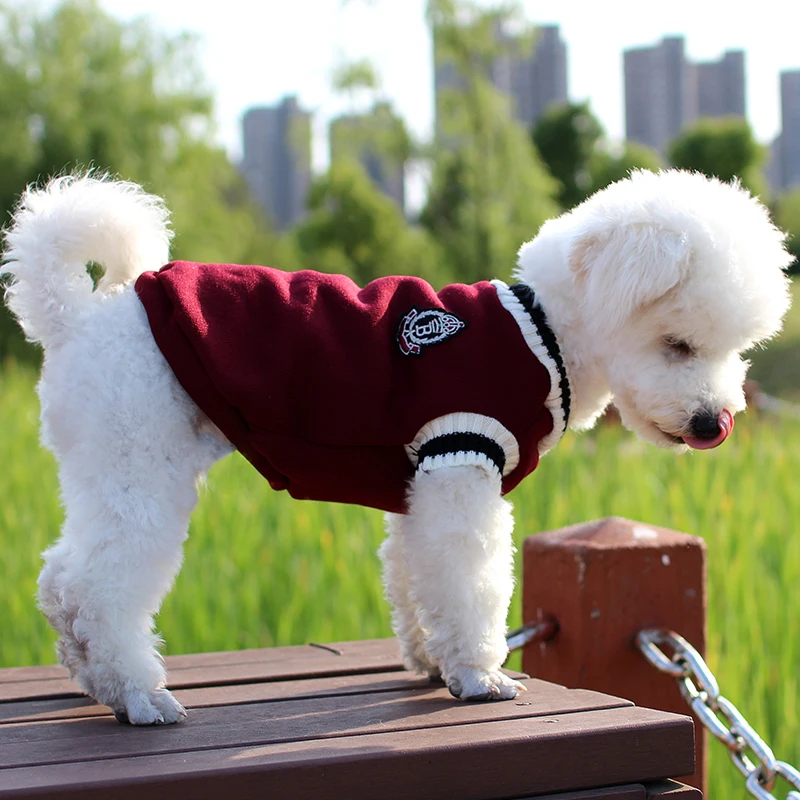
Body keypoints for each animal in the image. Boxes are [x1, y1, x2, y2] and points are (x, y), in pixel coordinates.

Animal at [1, 170, 792, 724]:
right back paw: (138, 694)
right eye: (677, 344)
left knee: (62, 580)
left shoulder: (426, 481)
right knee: (99, 587)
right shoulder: (463, 460)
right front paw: (479, 676)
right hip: (141, 466)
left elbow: (416, 581)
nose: (714, 424)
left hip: (107, 471)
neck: (547, 336)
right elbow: (471, 584)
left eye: (738, 350)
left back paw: (95, 678)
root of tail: (74, 318)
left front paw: (431, 662)